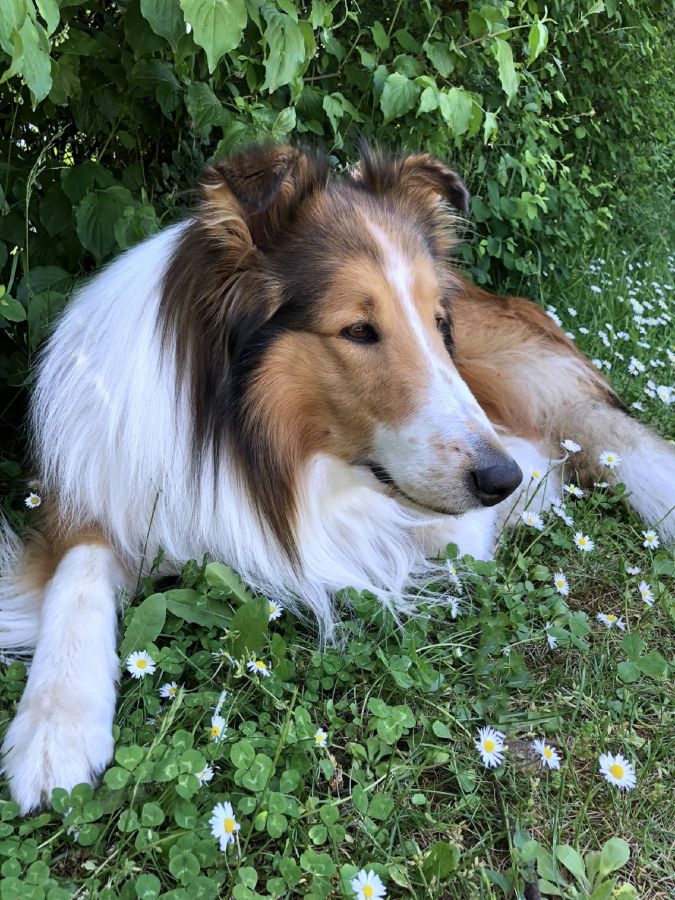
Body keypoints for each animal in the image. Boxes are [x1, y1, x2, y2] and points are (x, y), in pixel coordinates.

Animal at [1, 144, 673, 813]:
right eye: (357, 329)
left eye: (438, 324)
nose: (496, 481)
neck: (237, 443)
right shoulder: (87, 491)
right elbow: (78, 576)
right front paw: (55, 724)